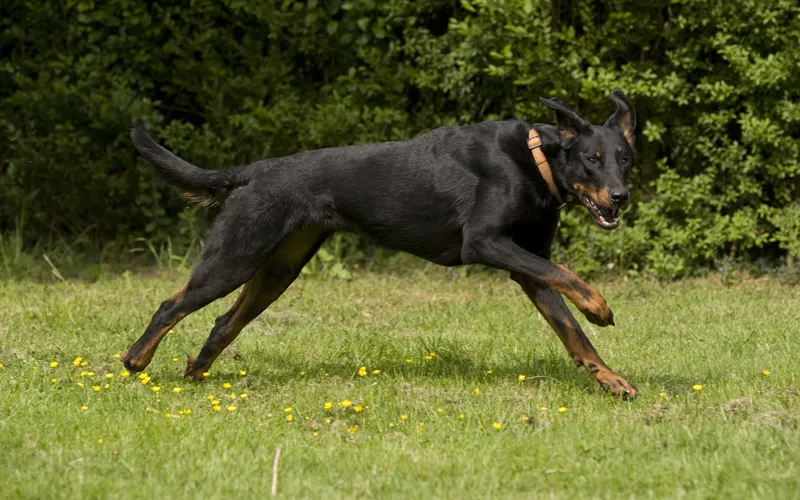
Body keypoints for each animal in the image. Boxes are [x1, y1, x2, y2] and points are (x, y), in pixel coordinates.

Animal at [120, 89, 636, 398]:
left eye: (625, 158)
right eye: (591, 159)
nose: (620, 197)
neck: (536, 160)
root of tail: (257, 170)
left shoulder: (527, 264)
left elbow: (571, 330)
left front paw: (611, 378)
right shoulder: (485, 242)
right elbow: (570, 281)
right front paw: (599, 307)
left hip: (278, 270)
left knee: (224, 321)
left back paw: (196, 371)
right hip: (236, 256)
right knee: (171, 306)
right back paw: (135, 360)